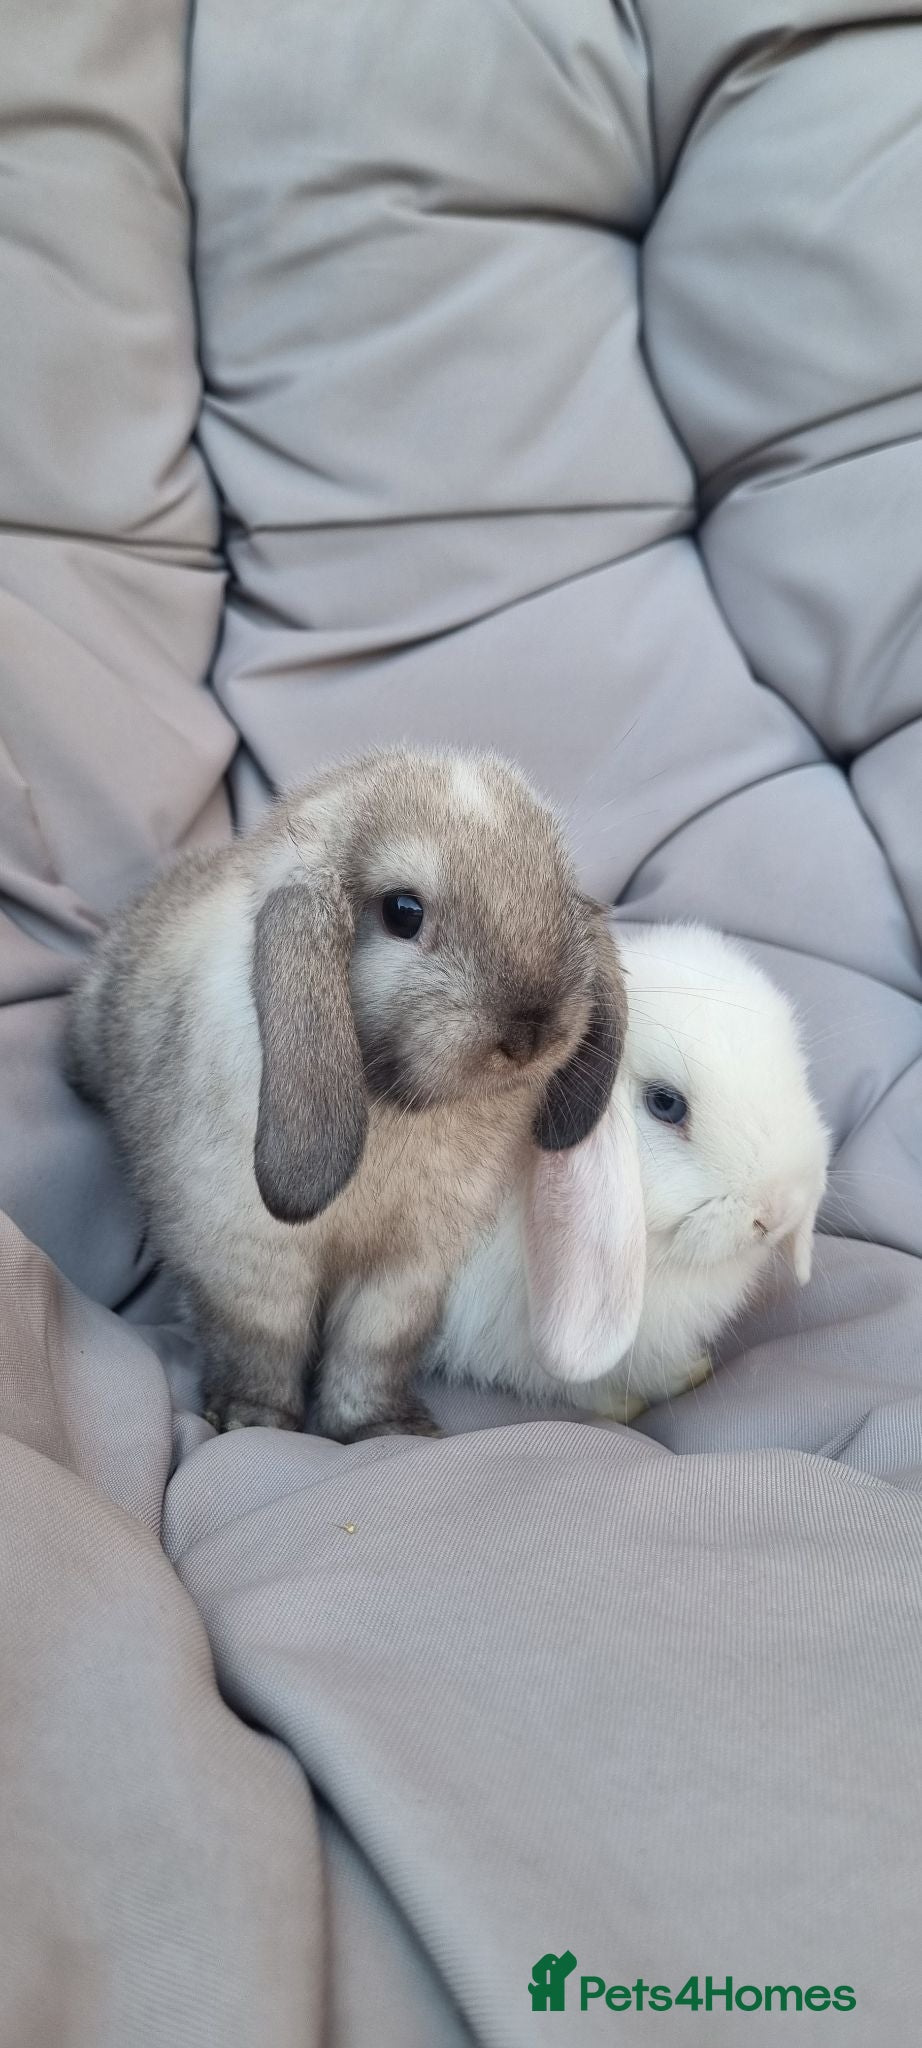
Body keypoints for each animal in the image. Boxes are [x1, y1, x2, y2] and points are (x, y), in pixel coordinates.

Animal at [64, 747, 630, 1441]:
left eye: (557, 886)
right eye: (402, 911)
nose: (533, 1030)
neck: (397, 1106)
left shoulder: (406, 1271)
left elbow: (373, 1350)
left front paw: (386, 1428)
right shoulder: (247, 1259)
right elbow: (261, 1342)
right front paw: (252, 1421)